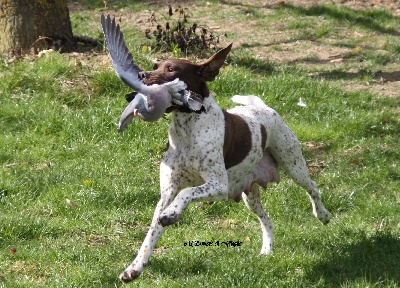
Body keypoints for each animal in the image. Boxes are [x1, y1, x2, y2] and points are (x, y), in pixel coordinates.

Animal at [119, 44, 332, 282]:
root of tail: (266, 108)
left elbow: (186, 193)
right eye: (155, 65)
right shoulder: (167, 193)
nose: (140, 76)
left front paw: (172, 214)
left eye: (171, 69)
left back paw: (323, 215)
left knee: (312, 188)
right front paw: (135, 267)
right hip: (251, 196)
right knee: (266, 220)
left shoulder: (219, 186)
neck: (187, 129)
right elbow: (151, 235)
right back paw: (266, 250)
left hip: (294, 166)